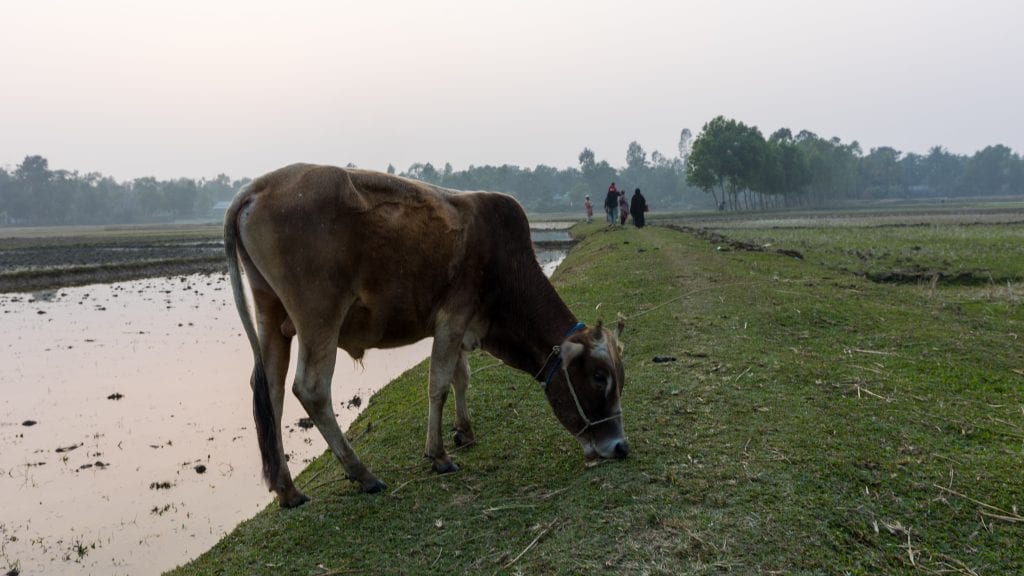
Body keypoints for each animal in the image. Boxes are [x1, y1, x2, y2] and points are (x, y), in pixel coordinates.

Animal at [224, 163, 626, 504]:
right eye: (598, 376)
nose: (620, 447)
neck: (504, 265)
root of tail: (258, 186)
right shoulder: (453, 318)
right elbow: (440, 385)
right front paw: (439, 455)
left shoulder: (460, 326)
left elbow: (462, 377)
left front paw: (464, 432)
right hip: (319, 317)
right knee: (311, 389)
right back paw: (362, 473)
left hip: (270, 314)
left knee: (270, 391)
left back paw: (288, 489)